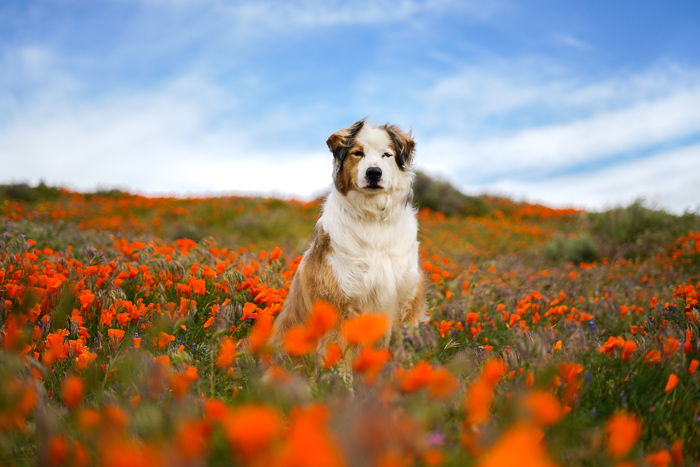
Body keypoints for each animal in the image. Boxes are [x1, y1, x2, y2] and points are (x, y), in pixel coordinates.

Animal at [272, 119, 426, 352]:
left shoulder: (406, 301)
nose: (374, 173)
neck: (373, 220)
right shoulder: (338, 304)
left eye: (387, 155)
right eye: (357, 153)